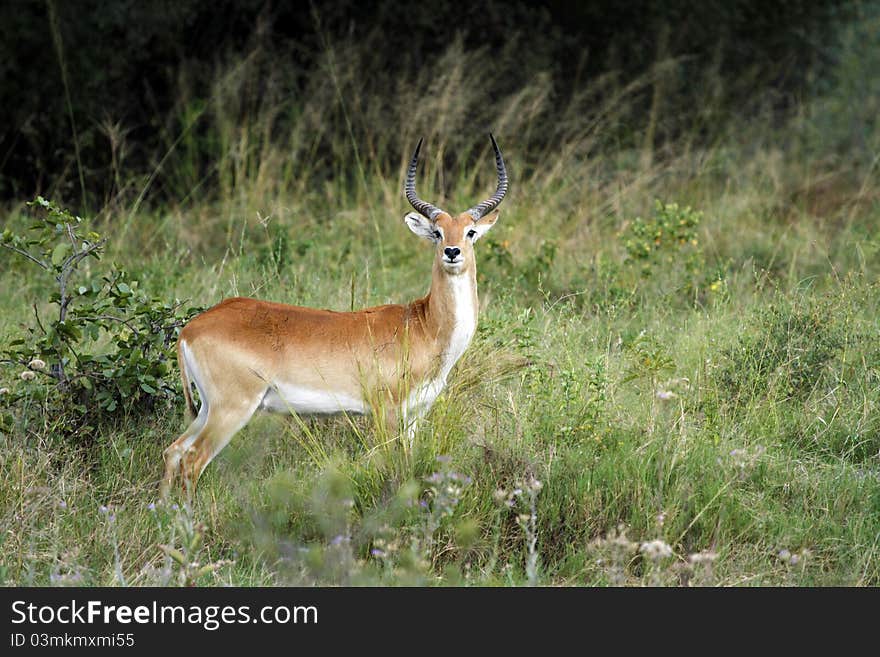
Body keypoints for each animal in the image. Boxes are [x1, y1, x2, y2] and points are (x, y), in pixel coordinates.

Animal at [160, 133, 508, 494]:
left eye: (470, 231)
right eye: (437, 232)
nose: (452, 252)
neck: (424, 326)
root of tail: (190, 329)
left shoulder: (414, 416)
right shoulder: (384, 412)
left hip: (206, 409)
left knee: (173, 451)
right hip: (231, 409)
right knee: (191, 461)